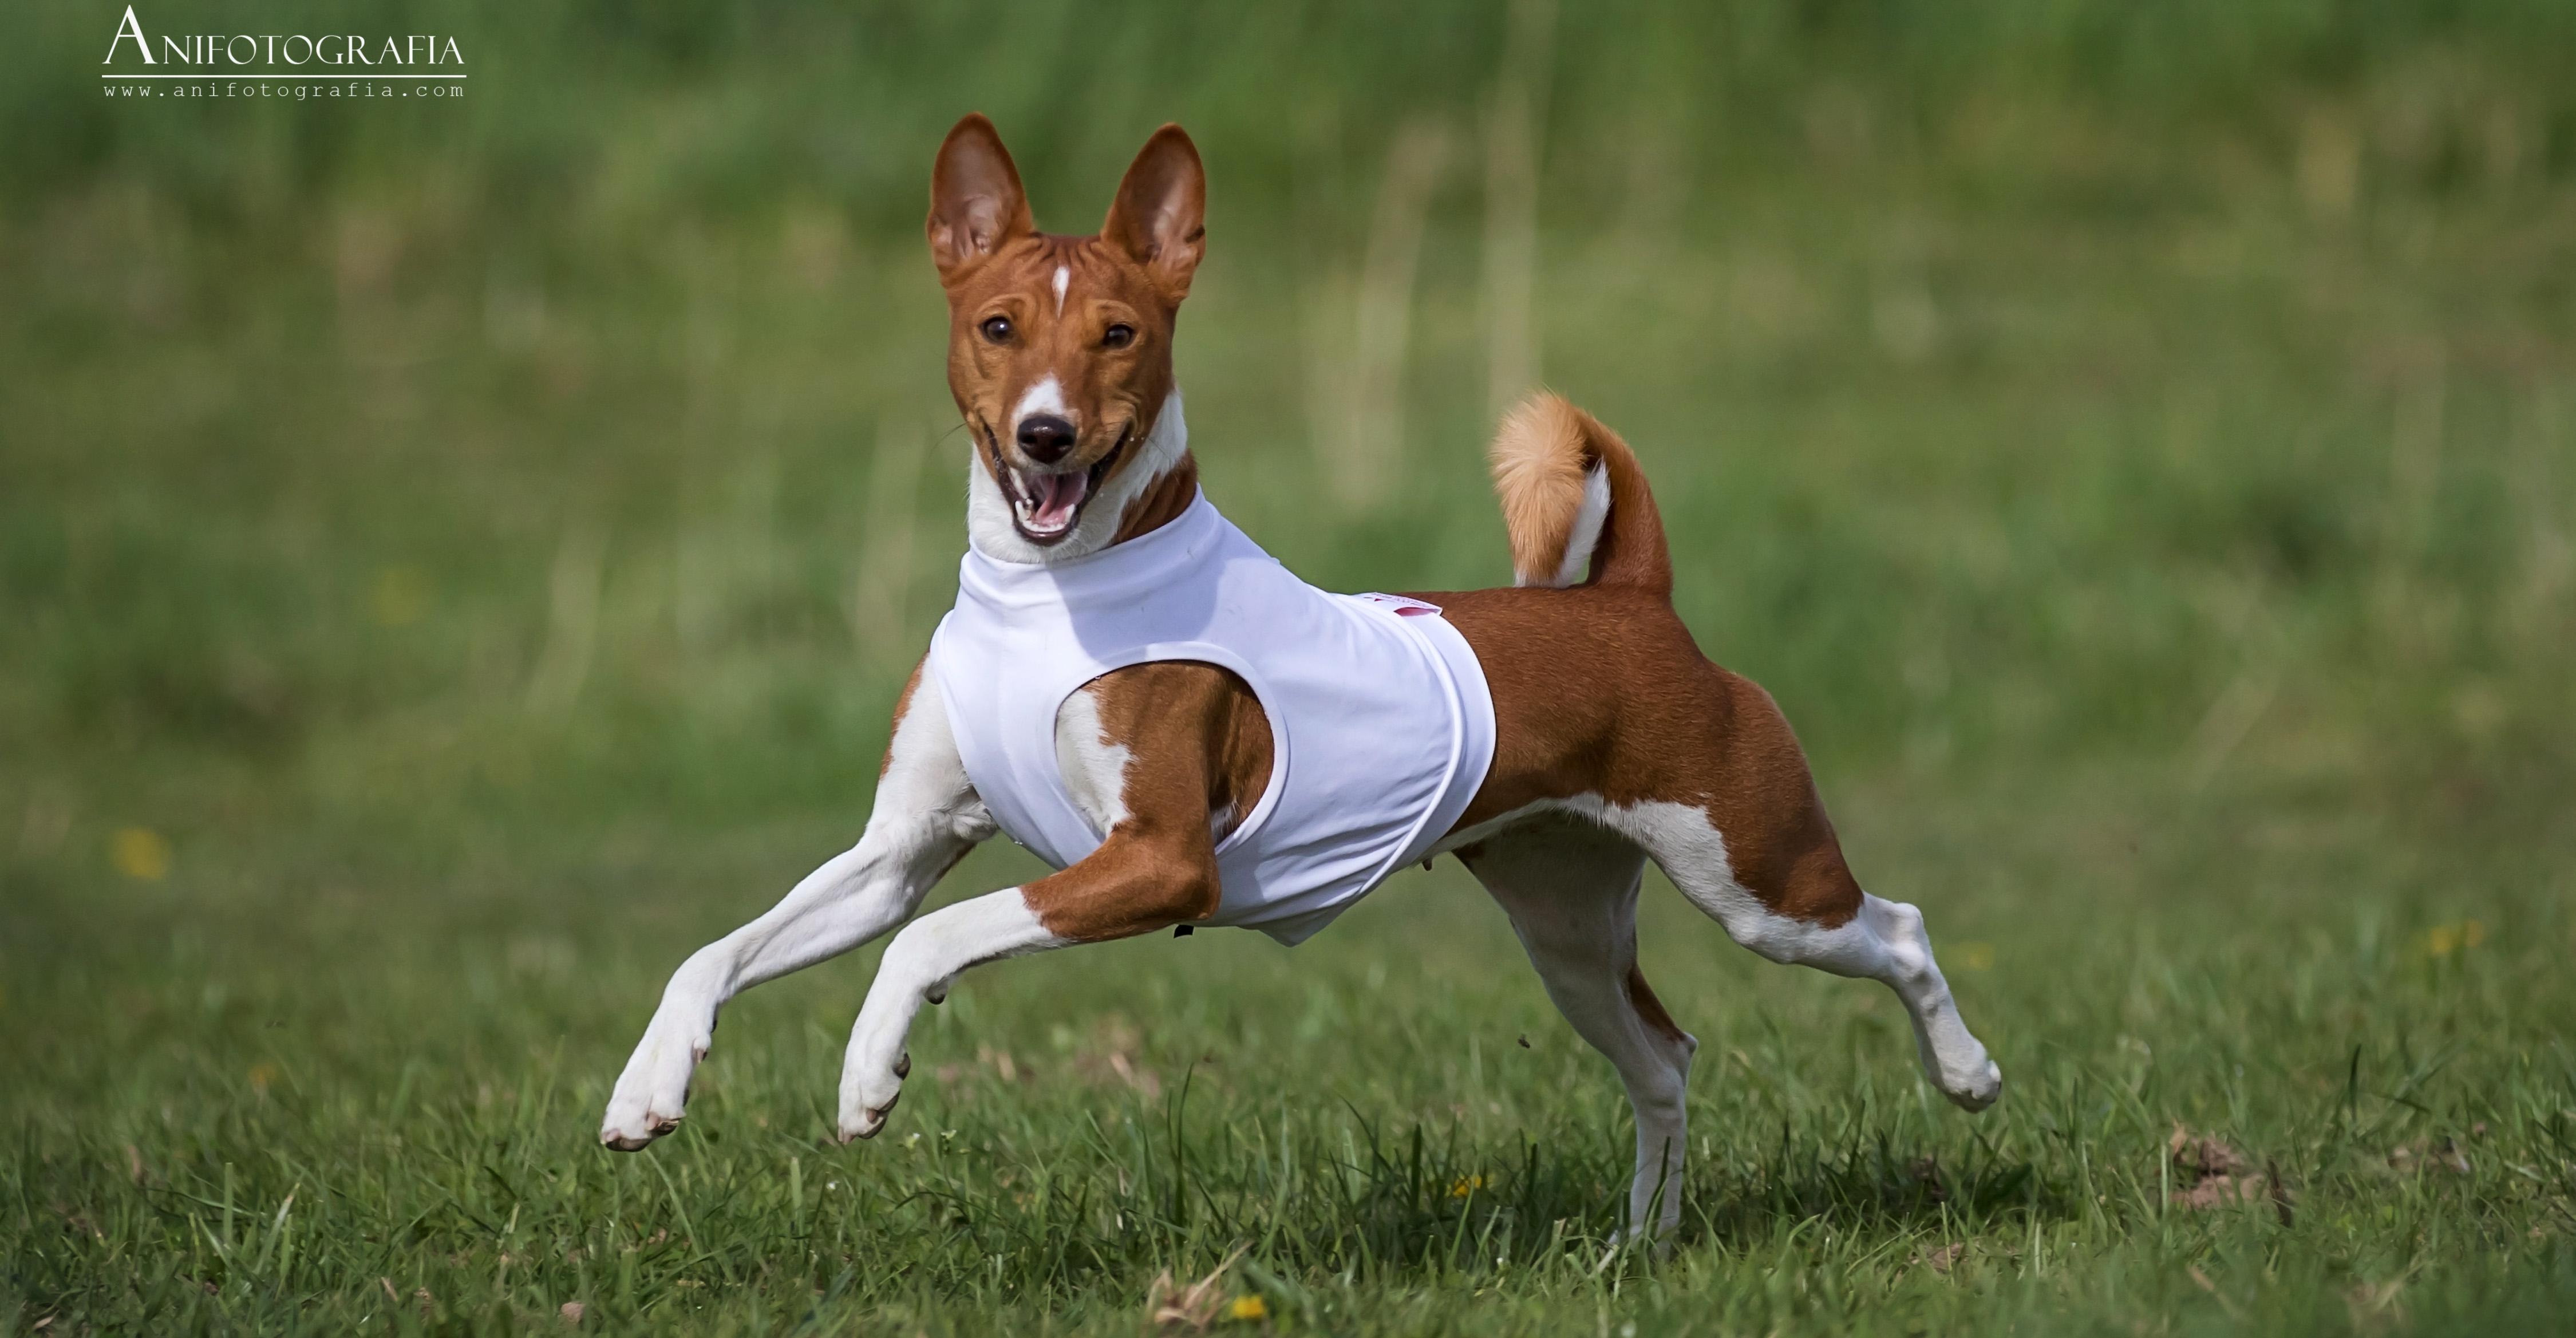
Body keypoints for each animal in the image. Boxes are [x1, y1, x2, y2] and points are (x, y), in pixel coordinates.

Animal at [601, 114, 2002, 1238]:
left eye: (1118, 335)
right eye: (998, 328)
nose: (1047, 433)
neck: (1050, 590)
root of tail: (1635, 602)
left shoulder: (1163, 857)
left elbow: (933, 938)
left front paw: (867, 1072)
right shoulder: (898, 847)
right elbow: (717, 951)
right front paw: (647, 1084)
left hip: (1757, 876)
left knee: (1899, 931)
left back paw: (1969, 1073)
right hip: (1564, 920)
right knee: (1663, 1059)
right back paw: (1642, 1249)